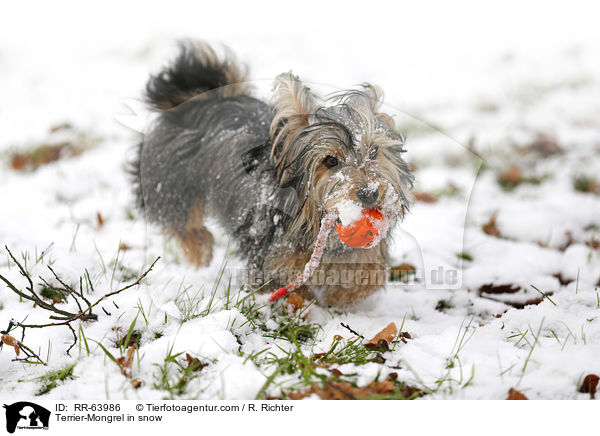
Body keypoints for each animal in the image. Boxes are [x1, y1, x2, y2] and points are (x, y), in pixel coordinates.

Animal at [131, 41, 412, 306]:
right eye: (330, 161)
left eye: (374, 152)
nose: (369, 193)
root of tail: (202, 97)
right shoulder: (270, 253)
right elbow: (284, 284)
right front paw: (299, 308)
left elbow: (365, 274)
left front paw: (341, 297)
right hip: (171, 179)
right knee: (181, 217)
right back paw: (199, 248)